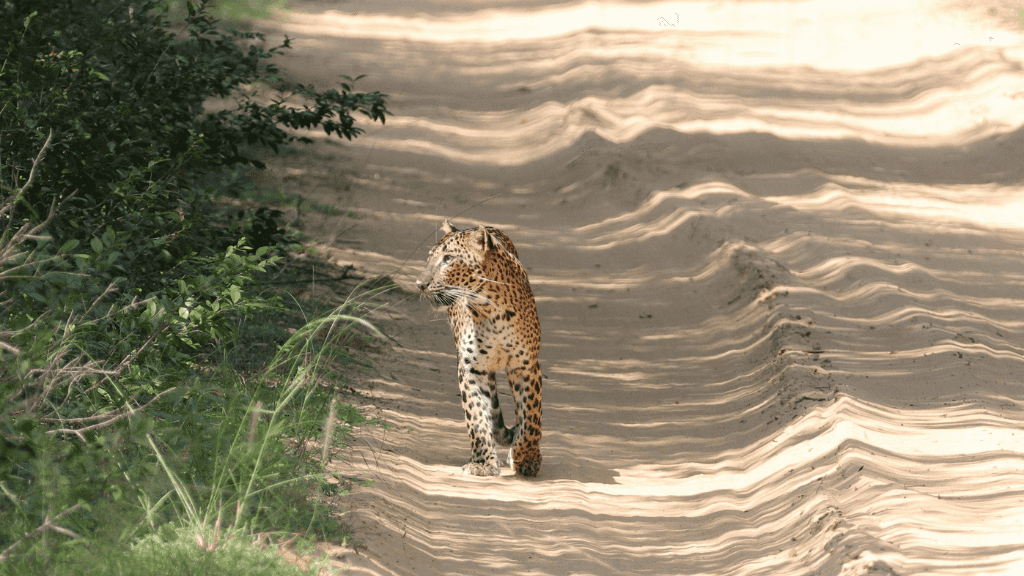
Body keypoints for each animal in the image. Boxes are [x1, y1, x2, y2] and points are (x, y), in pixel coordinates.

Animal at [415, 220, 543, 477]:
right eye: (430, 258)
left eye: (448, 259)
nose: (420, 284)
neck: (491, 311)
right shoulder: (471, 368)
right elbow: (475, 416)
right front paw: (483, 463)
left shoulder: (525, 366)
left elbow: (531, 416)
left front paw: (526, 458)